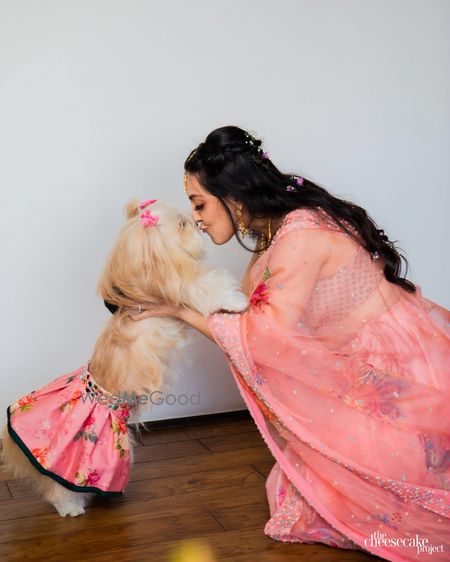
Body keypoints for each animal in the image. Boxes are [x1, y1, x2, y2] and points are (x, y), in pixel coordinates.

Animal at [0, 198, 246, 516]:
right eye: (182, 224)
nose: (196, 223)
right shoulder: (181, 283)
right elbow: (208, 285)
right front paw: (238, 301)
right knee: (58, 486)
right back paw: (70, 507)